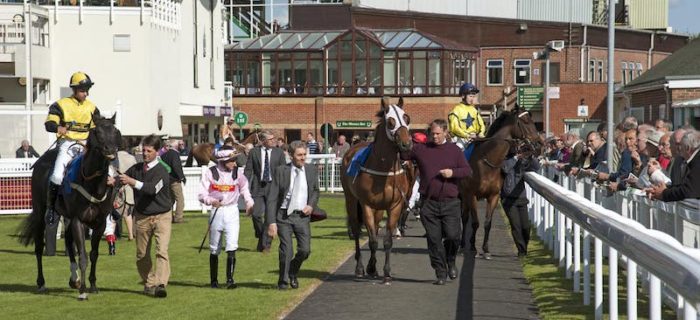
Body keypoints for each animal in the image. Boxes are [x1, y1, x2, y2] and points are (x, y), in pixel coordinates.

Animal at [19, 115, 122, 300]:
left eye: (115, 131)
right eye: (97, 131)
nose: (111, 150)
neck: (91, 182)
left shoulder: (99, 223)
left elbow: (93, 254)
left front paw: (92, 285)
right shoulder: (78, 220)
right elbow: (83, 255)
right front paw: (83, 291)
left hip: (66, 217)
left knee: (68, 242)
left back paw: (74, 279)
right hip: (40, 212)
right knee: (39, 248)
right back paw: (41, 283)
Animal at [338, 96, 410, 284]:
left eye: (407, 118)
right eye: (391, 121)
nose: (407, 144)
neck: (384, 169)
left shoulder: (395, 205)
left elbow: (386, 241)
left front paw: (385, 271)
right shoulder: (367, 205)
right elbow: (372, 241)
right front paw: (368, 268)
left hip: (379, 208)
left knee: (376, 228)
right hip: (351, 200)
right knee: (356, 230)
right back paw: (360, 267)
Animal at [462, 107, 544, 260]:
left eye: (532, 120)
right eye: (525, 121)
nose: (540, 145)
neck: (486, 162)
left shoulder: (493, 196)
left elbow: (487, 223)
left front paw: (486, 250)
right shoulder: (472, 195)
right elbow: (475, 222)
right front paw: (473, 247)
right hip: (463, 195)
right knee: (464, 218)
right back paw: (462, 244)